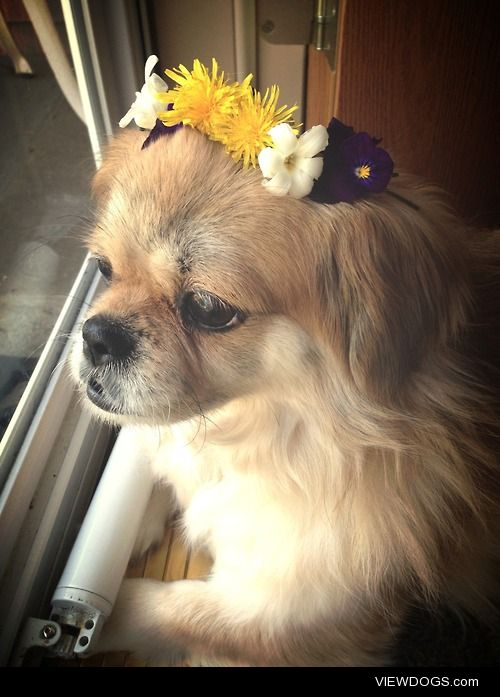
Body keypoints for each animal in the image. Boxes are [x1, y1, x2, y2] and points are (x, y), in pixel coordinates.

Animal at [71, 125, 500, 664]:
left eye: (208, 308)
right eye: (103, 269)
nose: (96, 336)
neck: (263, 428)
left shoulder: (288, 609)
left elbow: (168, 610)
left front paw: (86, 619)